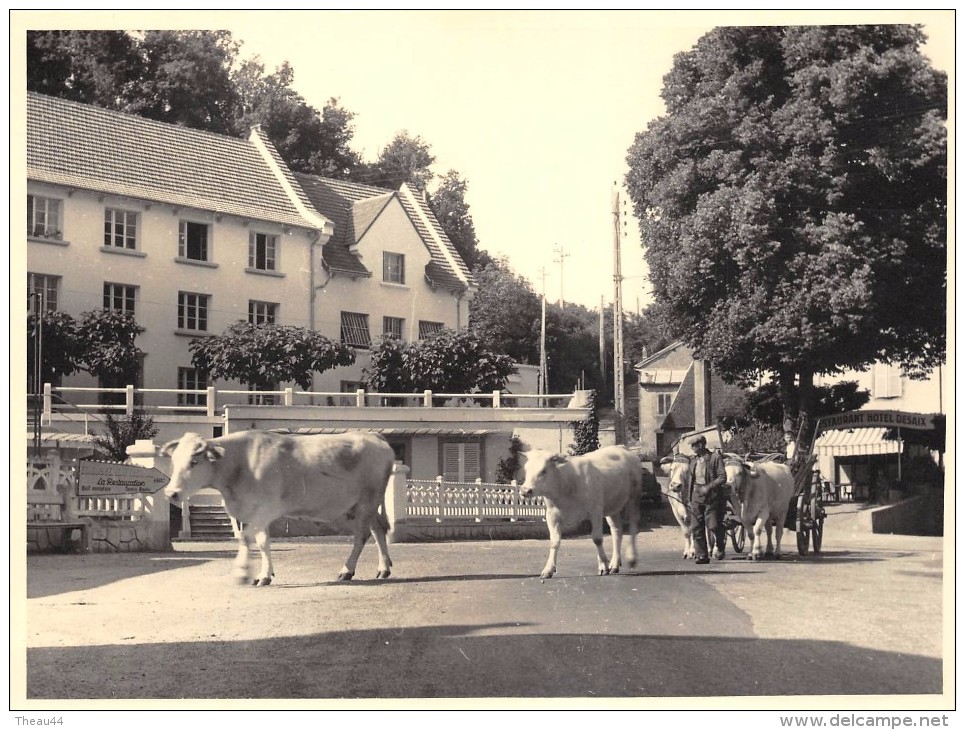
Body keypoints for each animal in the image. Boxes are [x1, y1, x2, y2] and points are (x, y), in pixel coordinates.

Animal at [160, 430, 394, 584]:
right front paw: (259, 573)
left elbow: (252, 540)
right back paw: (383, 568)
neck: (241, 463)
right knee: (378, 529)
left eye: (193, 462)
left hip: (366, 502)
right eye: (174, 461)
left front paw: (249, 573)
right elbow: (255, 541)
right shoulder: (251, 510)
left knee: (361, 536)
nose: (171, 493)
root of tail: (373, 436)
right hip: (365, 505)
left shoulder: (265, 510)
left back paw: (347, 570)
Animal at [516, 446, 644, 576]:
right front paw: (548, 569)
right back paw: (614, 564)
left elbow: (597, 539)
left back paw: (631, 558)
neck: (566, 484)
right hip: (612, 507)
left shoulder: (595, 511)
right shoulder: (552, 515)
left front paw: (603, 565)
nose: (525, 490)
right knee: (616, 530)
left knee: (633, 525)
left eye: (544, 471)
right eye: (526, 470)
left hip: (634, 497)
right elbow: (554, 542)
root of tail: (621, 448)